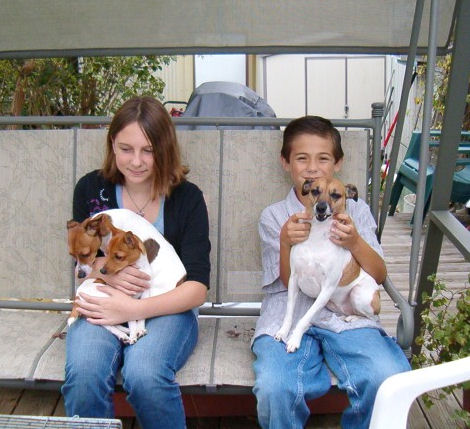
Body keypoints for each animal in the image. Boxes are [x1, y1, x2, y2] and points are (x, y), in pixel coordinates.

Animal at [274, 177, 380, 352]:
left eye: (336, 195)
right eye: (315, 191)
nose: (321, 207)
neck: (317, 235)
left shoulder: (327, 288)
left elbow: (304, 318)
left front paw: (295, 339)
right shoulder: (293, 279)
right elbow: (289, 312)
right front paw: (283, 331)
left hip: (359, 294)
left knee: (372, 317)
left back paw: (352, 318)